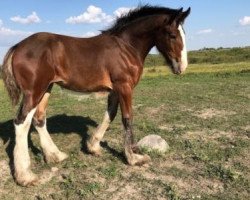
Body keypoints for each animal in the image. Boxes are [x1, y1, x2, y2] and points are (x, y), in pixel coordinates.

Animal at [0, 4, 190, 186]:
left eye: (184, 33)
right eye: (172, 35)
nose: (182, 66)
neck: (126, 46)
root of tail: (17, 46)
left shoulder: (115, 90)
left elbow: (110, 115)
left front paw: (93, 147)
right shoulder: (125, 87)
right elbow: (127, 118)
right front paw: (134, 157)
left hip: (46, 88)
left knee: (39, 119)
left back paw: (55, 155)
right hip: (34, 91)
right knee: (21, 122)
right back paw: (25, 176)